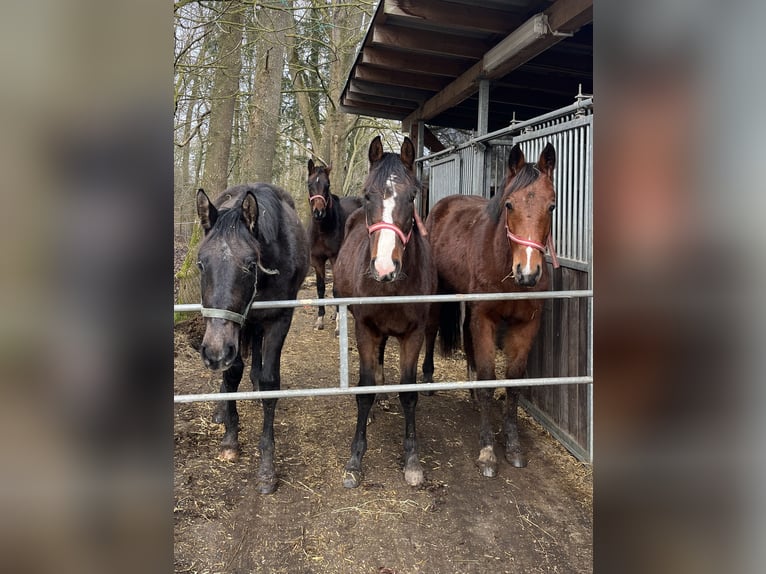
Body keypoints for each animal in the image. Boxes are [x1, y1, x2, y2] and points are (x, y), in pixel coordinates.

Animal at [196, 184, 310, 496]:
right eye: (200, 264)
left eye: (249, 264)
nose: (214, 352)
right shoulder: (236, 329)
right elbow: (232, 374)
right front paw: (230, 438)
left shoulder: (279, 319)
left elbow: (270, 383)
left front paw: (267, 468)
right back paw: (221, 409)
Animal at [306, 161, 364, 332]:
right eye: (309, 184)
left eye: (328, 185)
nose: (319, 212)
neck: (322, 230)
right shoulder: (317, 260)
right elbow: (320, 288)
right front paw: (320, 320)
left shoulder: (335, 258)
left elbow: (335, 289)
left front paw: (339, 322)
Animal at [332, 136, 436, 490]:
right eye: (367, 195)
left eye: (412, 196)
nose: (384, 267)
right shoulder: (366, 328)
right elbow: (363, 391)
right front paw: (355, 460)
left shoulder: (414, 334)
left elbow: (409, 393)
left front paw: (413, 460)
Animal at [424, 144, 560, 482]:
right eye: (509, 204)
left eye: (551, 206)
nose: (528, 272)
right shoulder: (484, 319)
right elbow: (489, 378)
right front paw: (487, 452)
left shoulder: (526, 325)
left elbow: (513, 381)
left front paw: (513, 446)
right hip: (439, 291)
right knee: (432, 328)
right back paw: (429, 378)